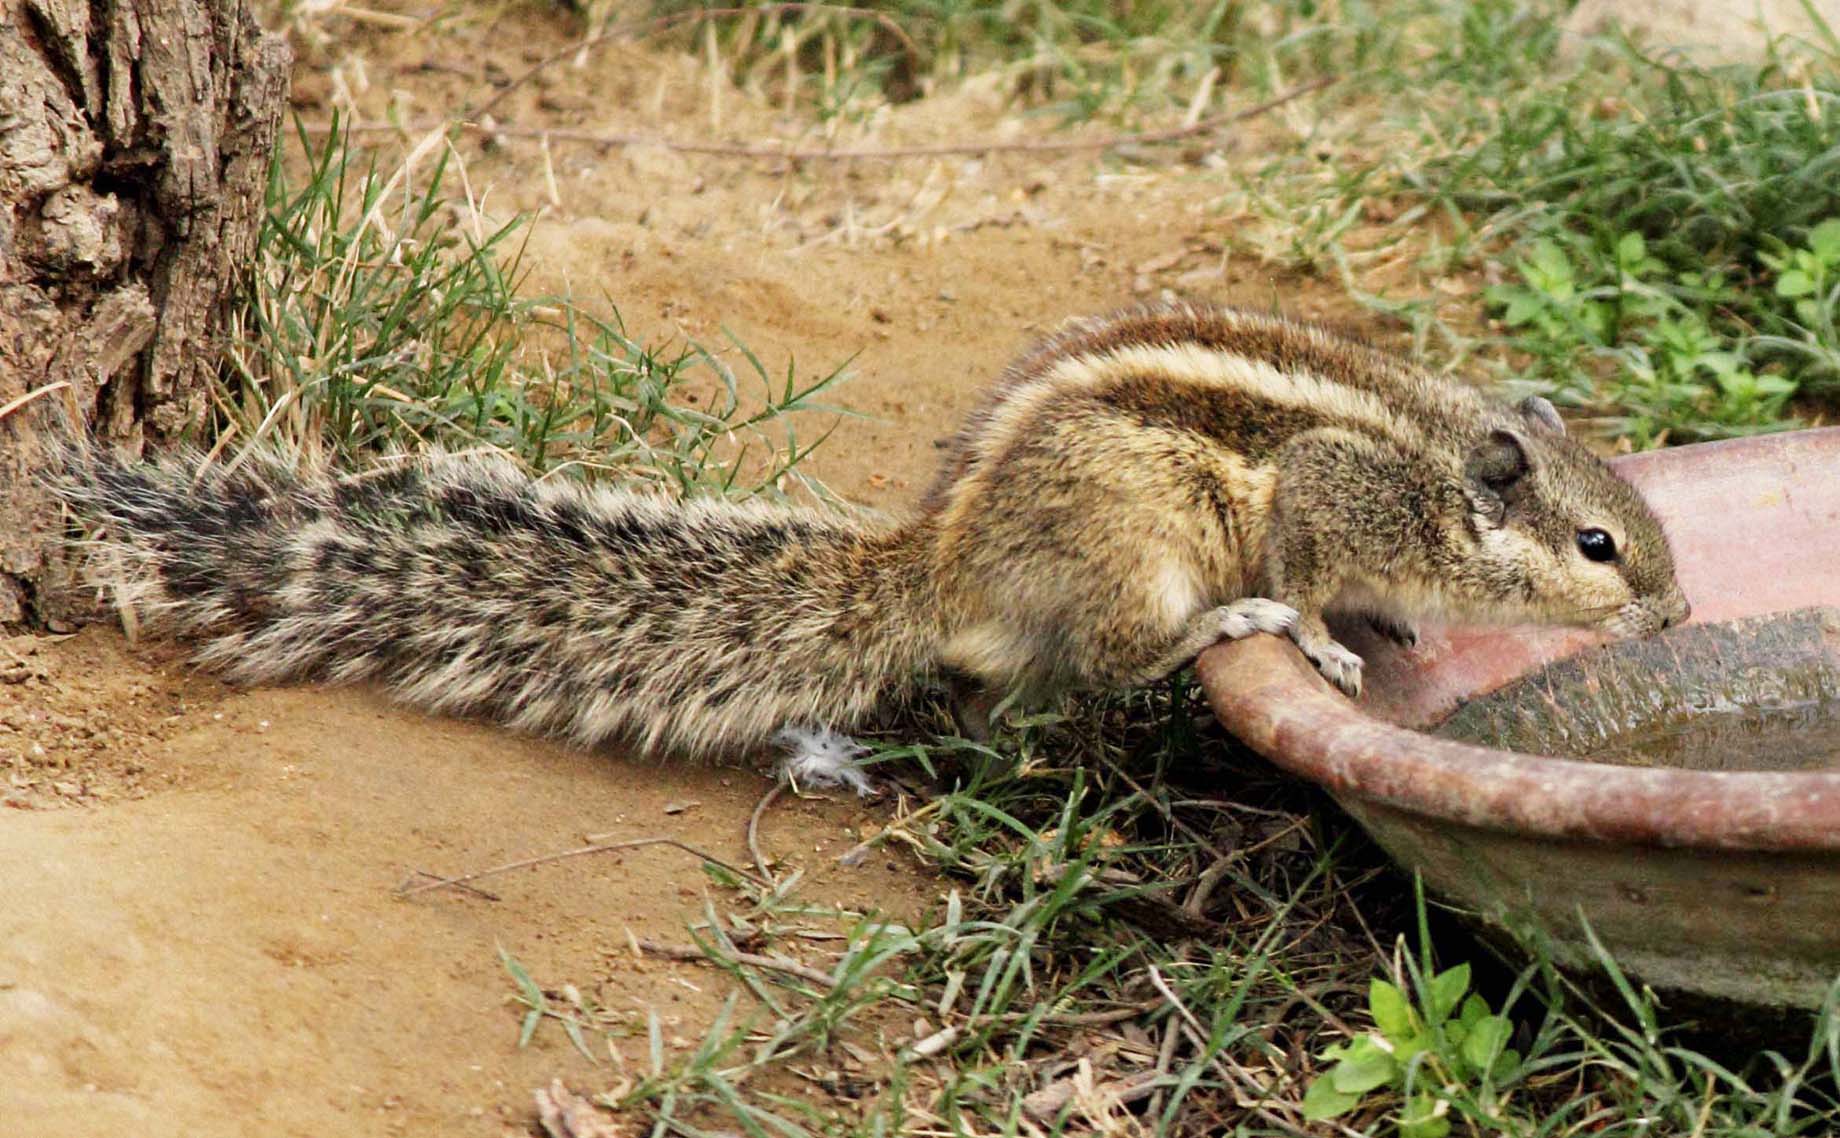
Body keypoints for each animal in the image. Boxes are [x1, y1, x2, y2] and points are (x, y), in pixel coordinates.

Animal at [50, 301, 1690, 762]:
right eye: (1602, 548)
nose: (1678, 618)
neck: (1436, 472)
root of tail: (940, 561)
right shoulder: (1324, 491)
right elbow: (1301, 561)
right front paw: (1321, 636)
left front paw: (1390, 622)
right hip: (1139, 536)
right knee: (1113, 658)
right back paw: (1222, 625)